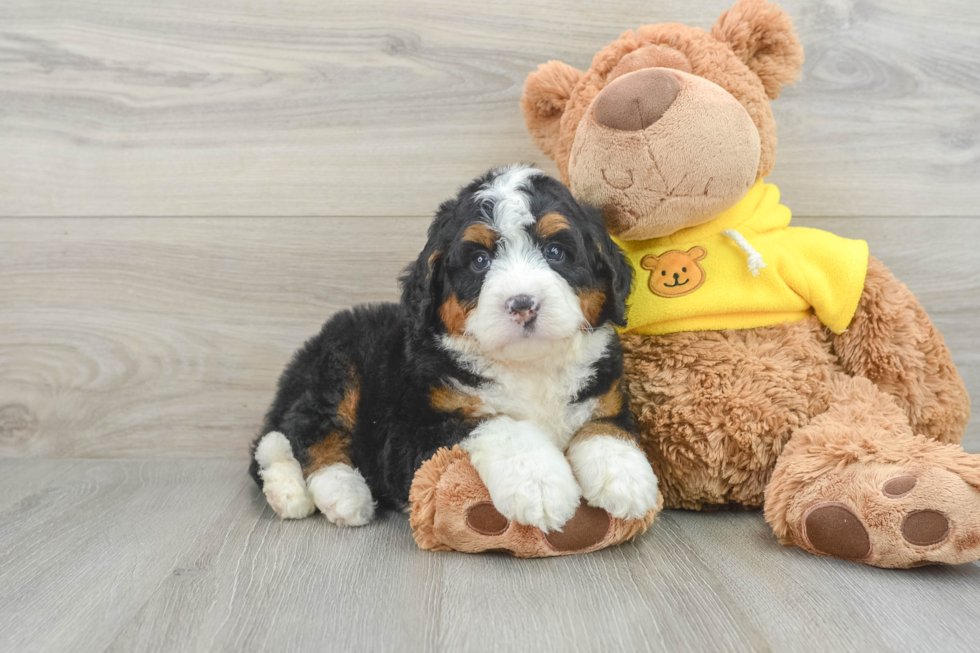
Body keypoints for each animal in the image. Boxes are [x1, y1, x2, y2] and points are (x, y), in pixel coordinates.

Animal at [249, 166, 660, 532]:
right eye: (479, 260)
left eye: (556, 252)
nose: (523, 304)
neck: (528, 367)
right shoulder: (410, 438)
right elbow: (500, 424)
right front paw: (540, 484)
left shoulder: (604, 392)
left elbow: (605, 427)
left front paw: (626, 476)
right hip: (339, 363)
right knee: (304, 429)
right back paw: (335, 492)